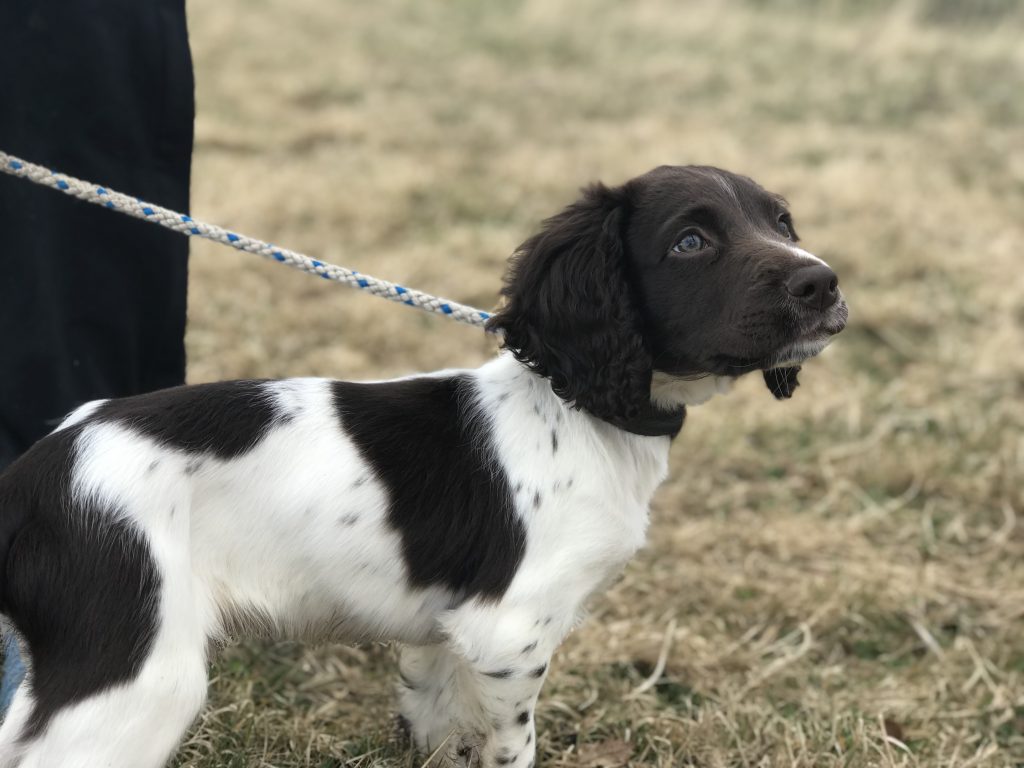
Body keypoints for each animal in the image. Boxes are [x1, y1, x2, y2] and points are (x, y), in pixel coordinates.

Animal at [0, 165, 847, 765]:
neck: (581, 410)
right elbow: (512, 747)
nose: (824, 281)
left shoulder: (445, 634)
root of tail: (32, 474)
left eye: (780, 220)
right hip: (136, 673)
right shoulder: (511, 636)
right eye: (690, 242)